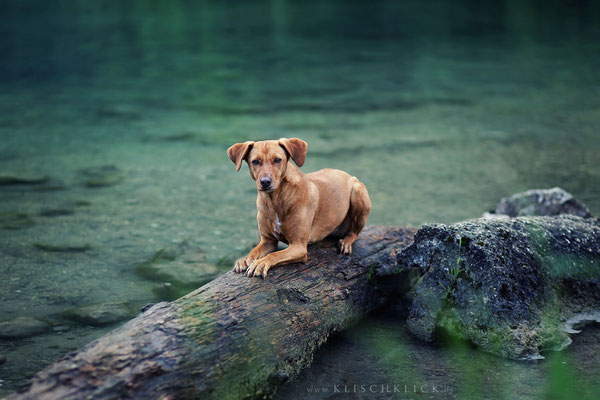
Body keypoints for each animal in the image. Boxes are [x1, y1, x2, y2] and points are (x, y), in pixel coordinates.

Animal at [229, 138, 370, 278]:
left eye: (277, 159)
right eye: (255, 161)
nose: (265, 182)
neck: (274, 200)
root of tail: (349, 175)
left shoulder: (299, 246)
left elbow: (275, 254)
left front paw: (261, 263)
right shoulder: (268, 241)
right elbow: (254, 251)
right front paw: (245, 260)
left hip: (357, 192)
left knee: (354, 232)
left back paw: (346, 242)